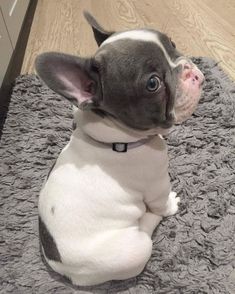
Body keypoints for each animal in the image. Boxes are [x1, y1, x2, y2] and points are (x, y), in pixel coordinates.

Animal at [35, 12, 205, 288]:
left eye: (172, 43)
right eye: (153, 83)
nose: (191, 71)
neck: (117, 140)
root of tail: (66, 273)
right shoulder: (156, 183)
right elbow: (161, 203)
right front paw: (170, 206)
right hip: (134, 251)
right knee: (145, 233)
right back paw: (148, 219)